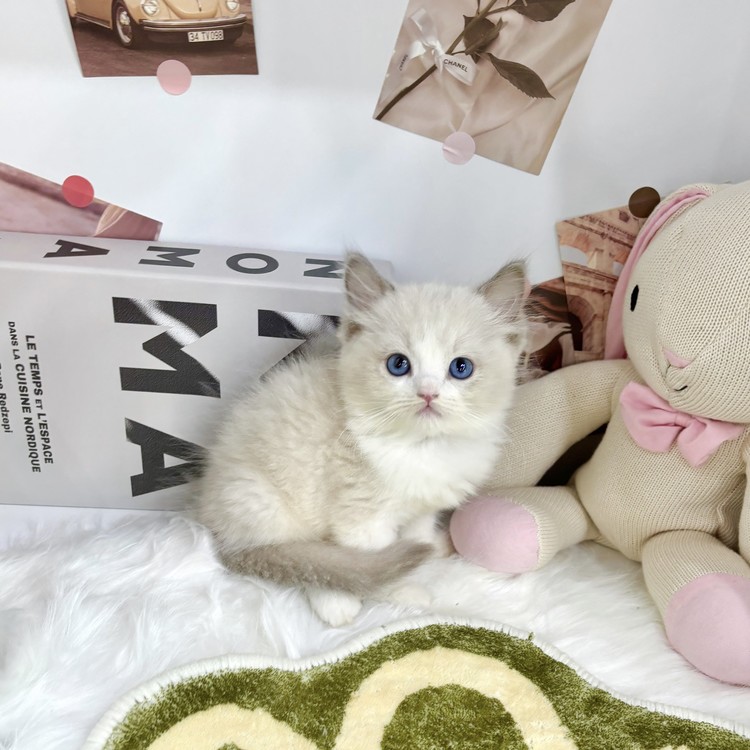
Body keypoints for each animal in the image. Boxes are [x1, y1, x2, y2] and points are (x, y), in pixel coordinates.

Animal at [195, 252, 527, 626]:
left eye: (461, 368)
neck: (420, 447)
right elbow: (374, 563)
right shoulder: (361, 517)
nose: (428, 394)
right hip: (262, 498)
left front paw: (422, 562)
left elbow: (415, 537)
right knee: (300, 558)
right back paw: (335, 603)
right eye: (398, 364)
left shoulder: (421, 510)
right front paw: (402, 593)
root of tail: (213, 520)